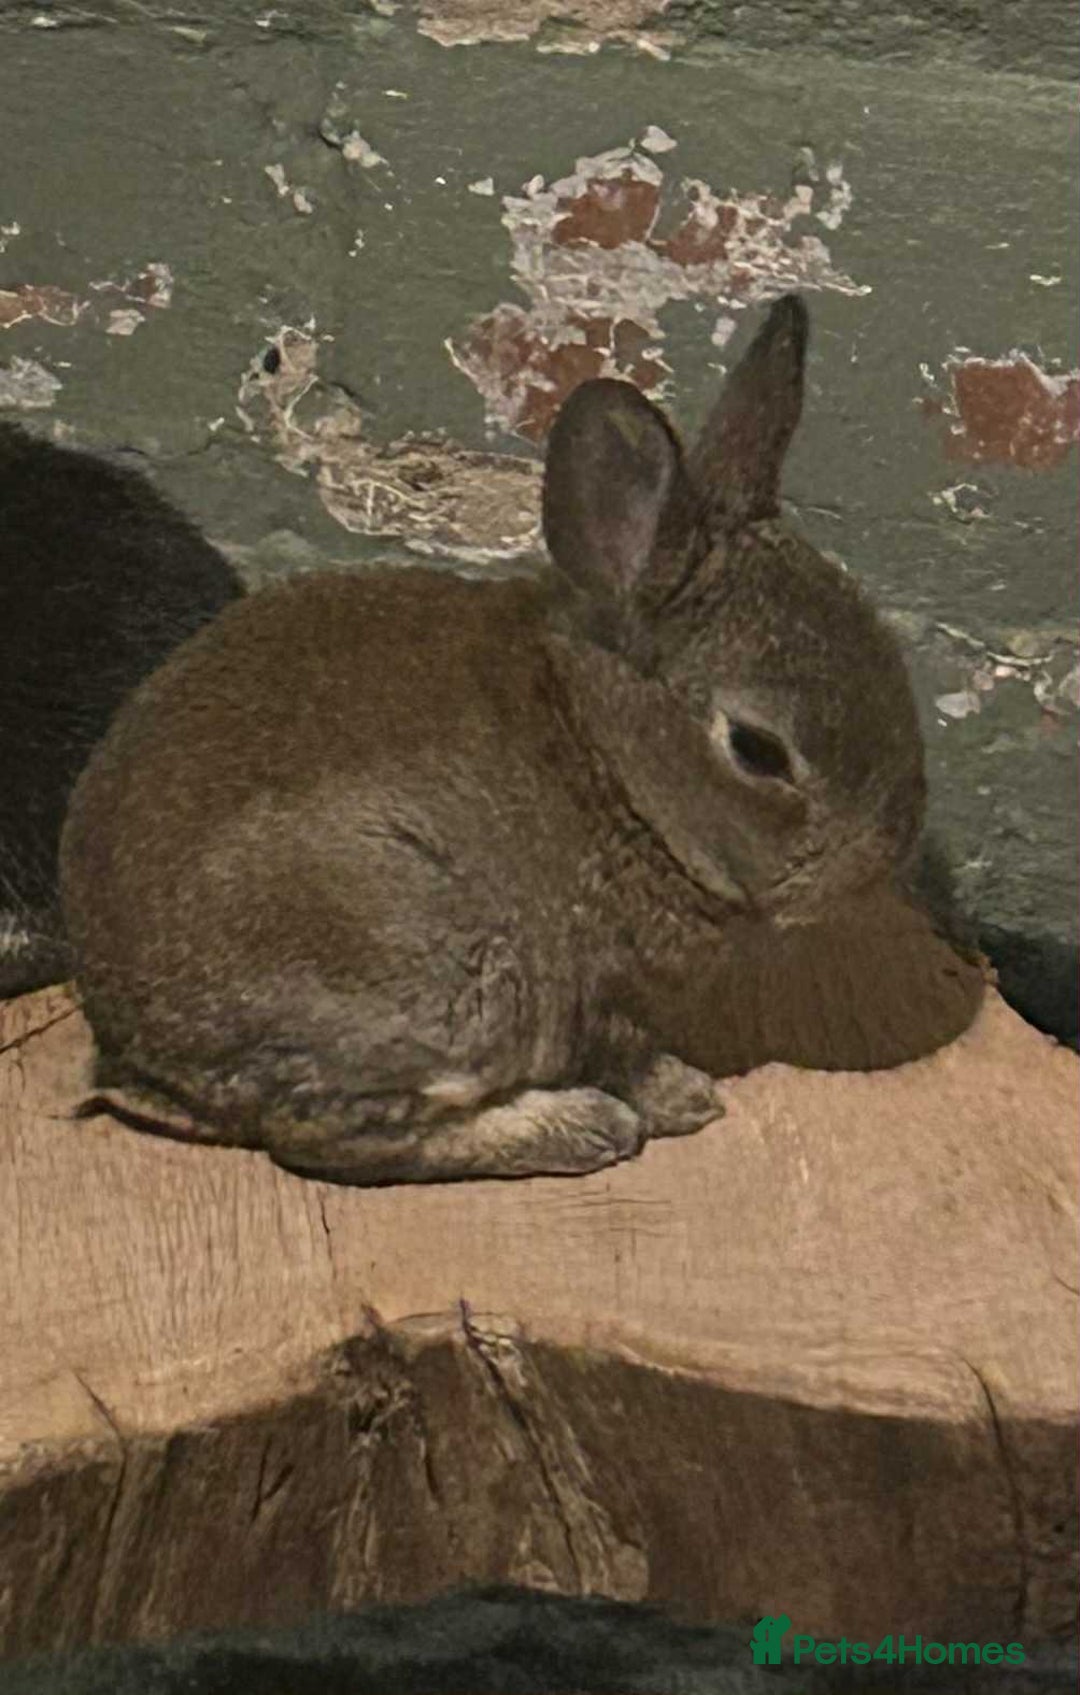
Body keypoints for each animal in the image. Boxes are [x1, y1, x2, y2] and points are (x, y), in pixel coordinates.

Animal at [59, 295, 985, 1186]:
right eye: (758, 750)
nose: (884, 852)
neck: (610, 759)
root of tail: (138, 1042)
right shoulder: (596, 989)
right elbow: (626, 1053)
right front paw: (688, 1097)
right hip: (439, 970)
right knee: (331, 1134)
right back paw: (579, 1127)